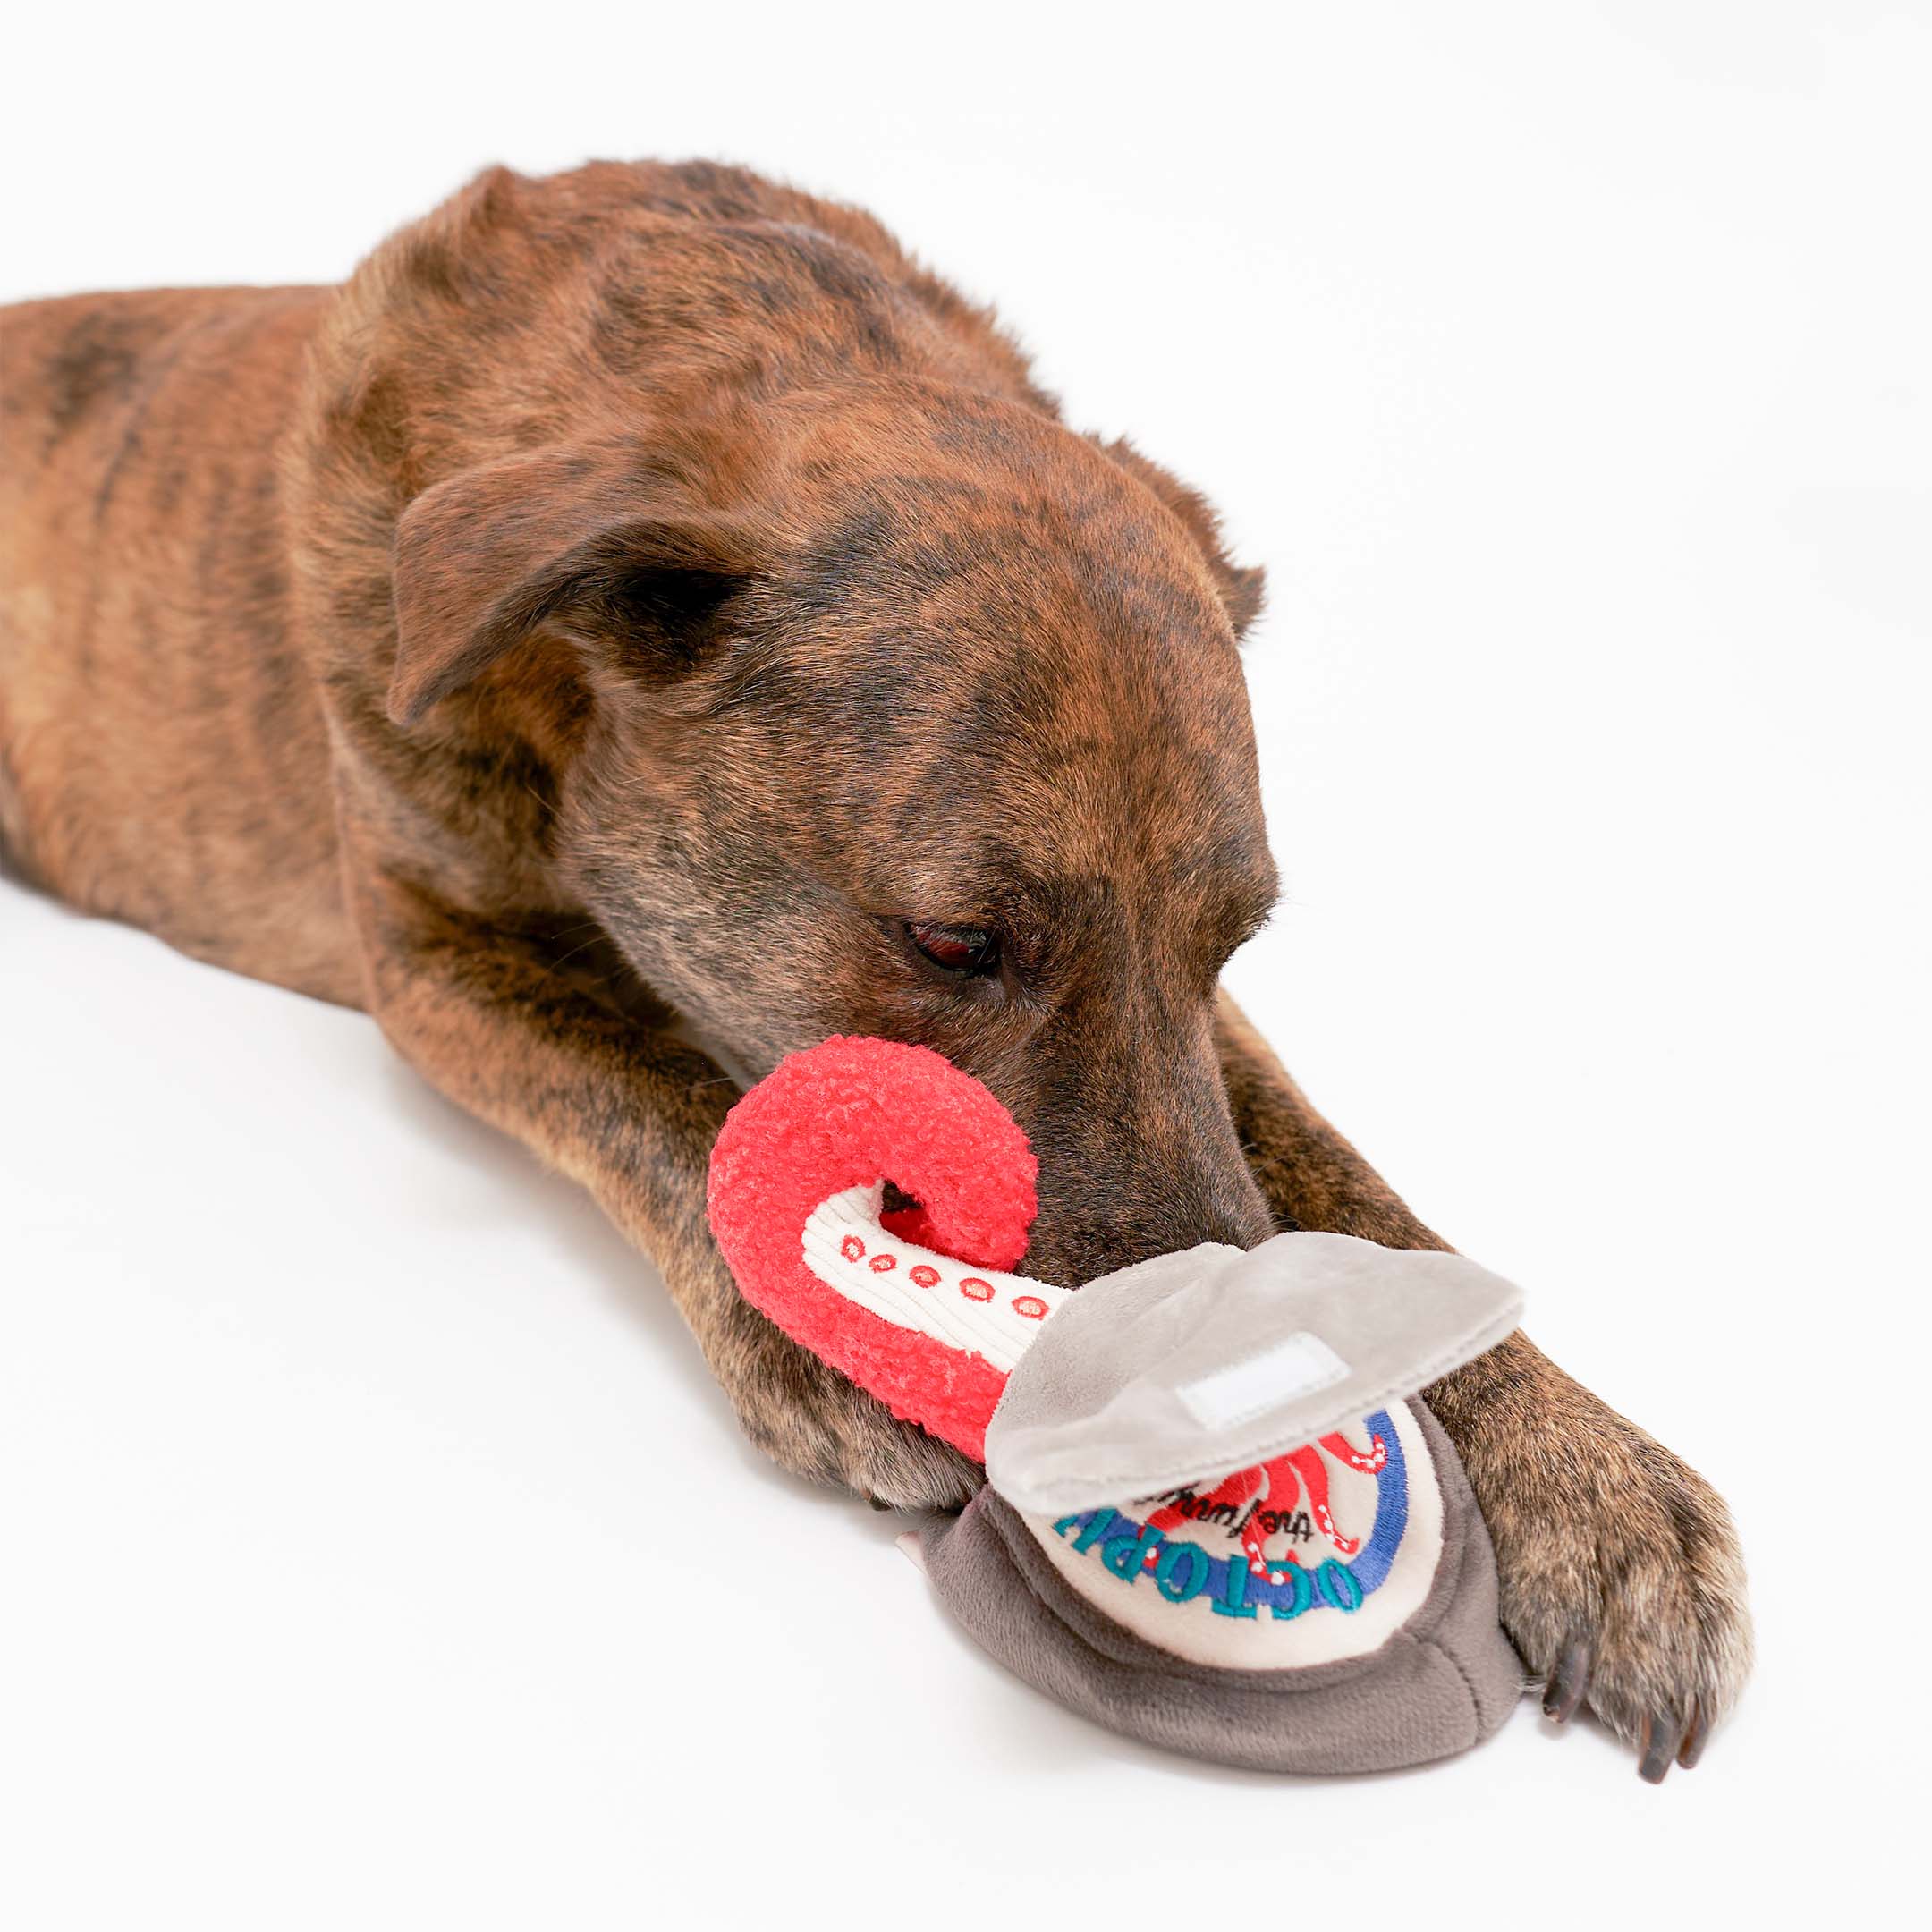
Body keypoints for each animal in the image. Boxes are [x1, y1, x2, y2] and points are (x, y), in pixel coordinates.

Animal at [0, 162, 1754, 1777]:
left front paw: (1590, 1478)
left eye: (1232, 938)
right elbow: (659, 1097)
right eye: (954, 943)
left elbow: (1346, 1176)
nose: (1237, 1406)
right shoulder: (439, 953)